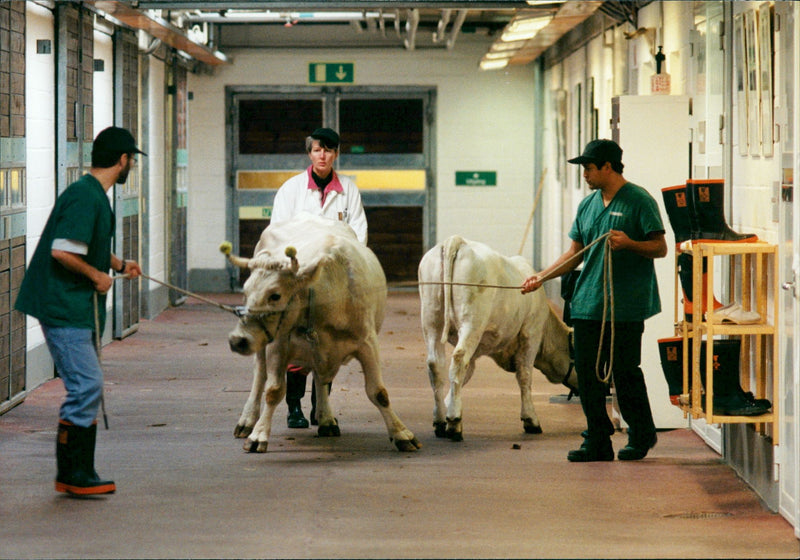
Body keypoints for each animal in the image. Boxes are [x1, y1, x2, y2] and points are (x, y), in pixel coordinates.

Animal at [219, 212, 418, 452]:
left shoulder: (368, 343)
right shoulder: (278, 344)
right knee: (260, 375)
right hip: (265, 344)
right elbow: (273, 390)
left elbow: (379, 392)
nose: (237, 340)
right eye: (245, 292)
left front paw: (401, 433)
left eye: (275, 295)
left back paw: (326, 419)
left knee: (319, 378)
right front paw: (258, 435)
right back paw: (247, 420)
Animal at [416, 234, 580, 440]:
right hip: (472, 322)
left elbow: (465, 375)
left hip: (431, 321)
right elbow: (524, 375)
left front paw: (448, 407)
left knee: (436, 365)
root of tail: (457, 240)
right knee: (459, 359)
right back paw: (454, 422)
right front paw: (531, 419)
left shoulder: (477, 351)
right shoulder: (531, 333)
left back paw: (440, 421)